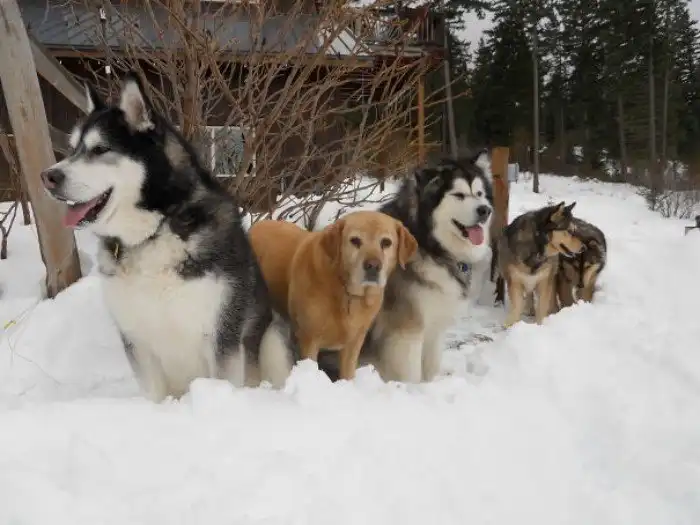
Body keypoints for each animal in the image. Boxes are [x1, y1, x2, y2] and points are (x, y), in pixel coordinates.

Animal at [39, 73, 292, 401]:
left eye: (99, 149)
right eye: (72, 150)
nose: (48, 177)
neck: (155, 232)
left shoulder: (222, 336)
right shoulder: (137, 340)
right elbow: (153, 395)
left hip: (273, 336)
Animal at [249, 211, 417, 381]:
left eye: (386, 242)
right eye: (355, 240)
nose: (373, 266)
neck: (345, 291)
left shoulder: (353, 344)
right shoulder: (309, 340)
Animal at [316, 154, 494, 383]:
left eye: (479, 194)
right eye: (459, 195)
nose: (485, 210)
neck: (430, 245)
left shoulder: (434, 327)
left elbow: (430, 368)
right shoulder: (405, 331)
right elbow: (411, 374)